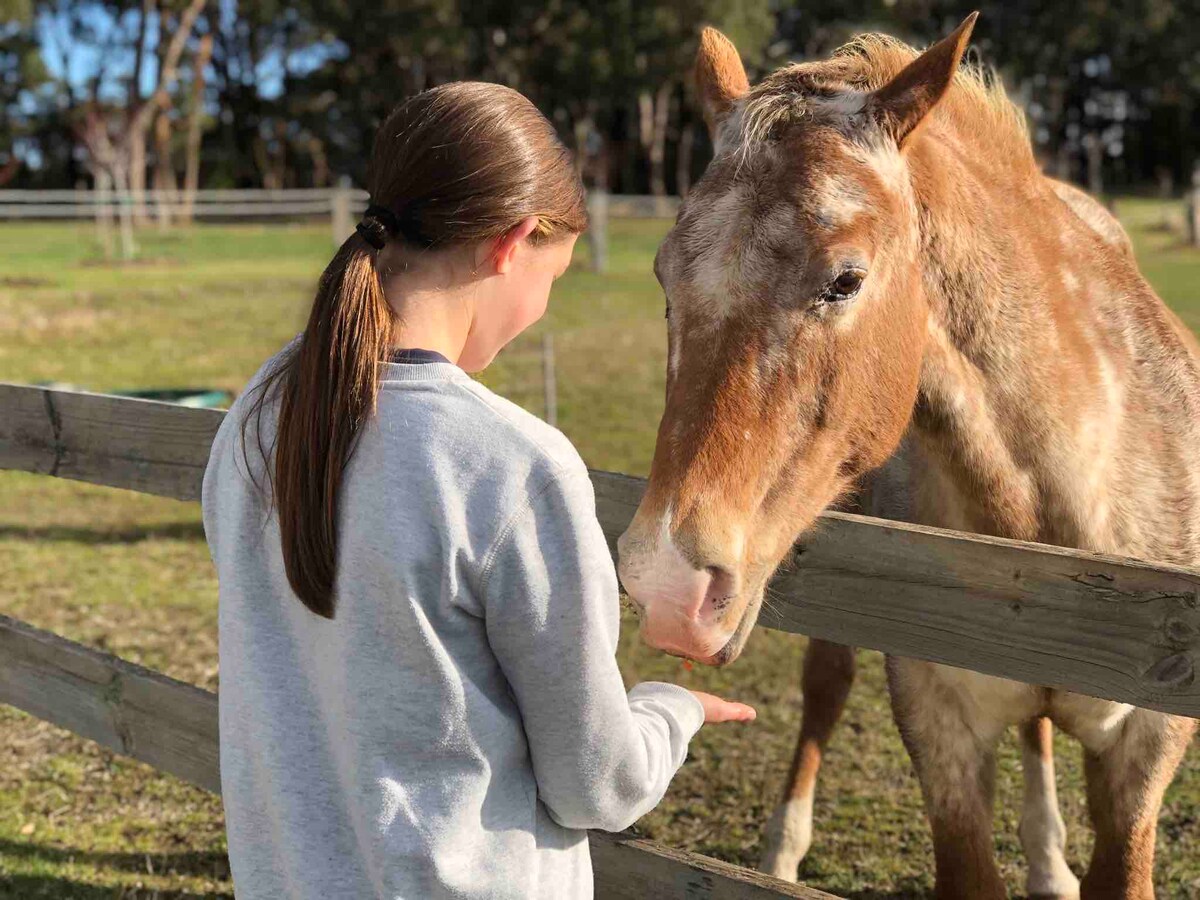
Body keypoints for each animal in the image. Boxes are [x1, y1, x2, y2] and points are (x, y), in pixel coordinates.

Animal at [619, 15, 1200, 900]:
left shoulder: (1145, 756)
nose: (668, 586)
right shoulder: (941, 737)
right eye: (664, 277)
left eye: (845, 280)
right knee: (828, 684)